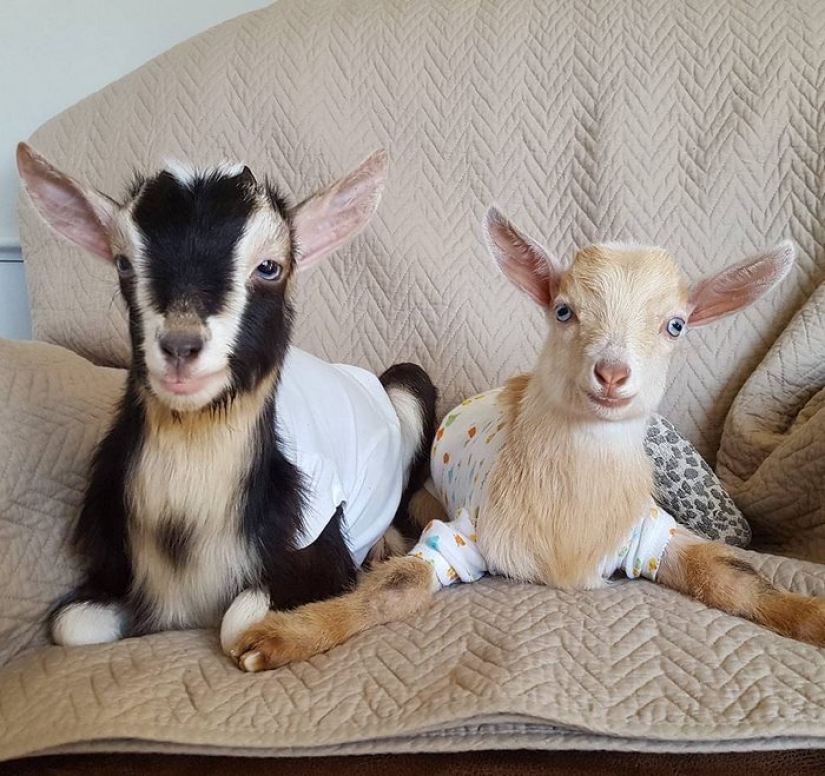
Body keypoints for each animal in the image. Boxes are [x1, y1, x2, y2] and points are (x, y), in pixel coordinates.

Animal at [17, 143, 436, 652]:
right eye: (123, 263)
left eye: (270, 267)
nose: (180, 346)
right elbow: (71, 626)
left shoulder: (323, 558)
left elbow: (236, 624)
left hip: (409, 386)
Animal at [227, 207, 825, 672]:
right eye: (563, 310)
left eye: (675, 325)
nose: (611, 374)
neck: (569, 526)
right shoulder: (459, 535)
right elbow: (396, 589)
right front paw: (282, 637)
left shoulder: (652, 535)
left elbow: (732, 577)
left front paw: (813, 618)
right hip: (422, 495)